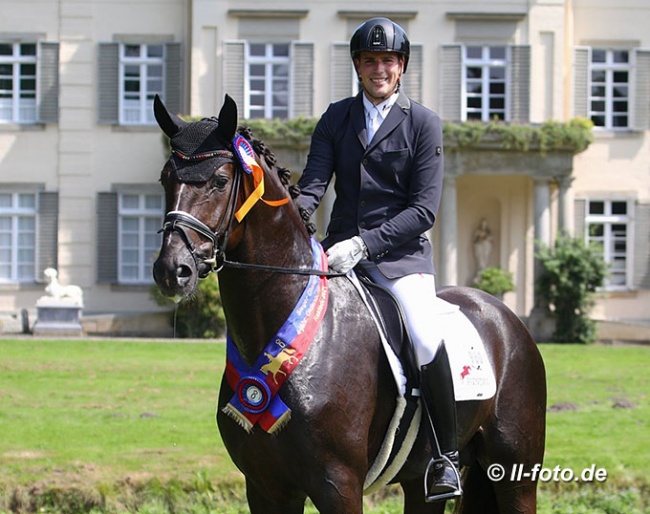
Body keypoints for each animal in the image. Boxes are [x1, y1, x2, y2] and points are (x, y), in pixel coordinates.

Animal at [151, 94, 540, 510]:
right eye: (165, 178)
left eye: (220, 181)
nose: (172, 270)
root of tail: (503, 315)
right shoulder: (264, 486)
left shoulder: (338, 485)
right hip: (421, 482)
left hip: (516, 475)